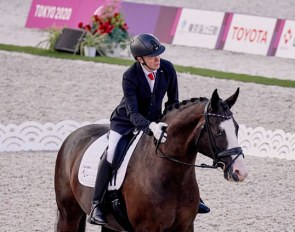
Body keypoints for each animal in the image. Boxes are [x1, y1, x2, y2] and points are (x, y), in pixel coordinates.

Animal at [54, 88, 249, 231]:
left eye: (236, 128)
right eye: (218, 131)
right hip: (68, 213)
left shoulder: (185, 226)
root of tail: (74, 134)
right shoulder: (147, 228)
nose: (240, 172)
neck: (172, 175)